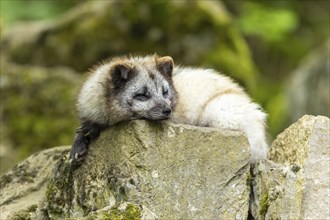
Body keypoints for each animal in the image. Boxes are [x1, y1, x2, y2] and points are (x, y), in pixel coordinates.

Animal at [70, 54, 268, 164]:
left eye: (164, 92)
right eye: (142, 95)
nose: (168, 111)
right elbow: (82, 129)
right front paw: (78, 147)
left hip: (220, 112)